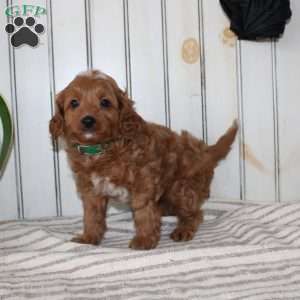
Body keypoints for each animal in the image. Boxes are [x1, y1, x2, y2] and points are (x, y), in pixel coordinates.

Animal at [49, 69, 237, 250]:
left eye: (105, 103)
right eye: (74, 103)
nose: (88, 120)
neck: (102, 150)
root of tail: (203, 151)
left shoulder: (143, 182)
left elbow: (143, 212)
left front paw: (144, 240)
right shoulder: (91, 191)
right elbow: (91, 216)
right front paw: (88, 238)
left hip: (181, 189)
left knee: (195, 214)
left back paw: (183, 230)